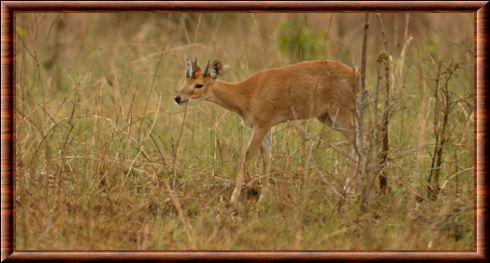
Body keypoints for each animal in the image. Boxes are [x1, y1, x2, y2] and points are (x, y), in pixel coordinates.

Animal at [174, 57, 358, 206]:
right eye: (185, 81)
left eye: (199, 84)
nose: (178, 98)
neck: (246, 95)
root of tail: (354, 74)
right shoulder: (267, 128)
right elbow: (267, 160)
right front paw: (263, 197)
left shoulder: (260, 126)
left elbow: (247, 157)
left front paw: (233, 199)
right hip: (327, 117)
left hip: (341, 113)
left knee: (356, 142)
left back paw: (347, 190)